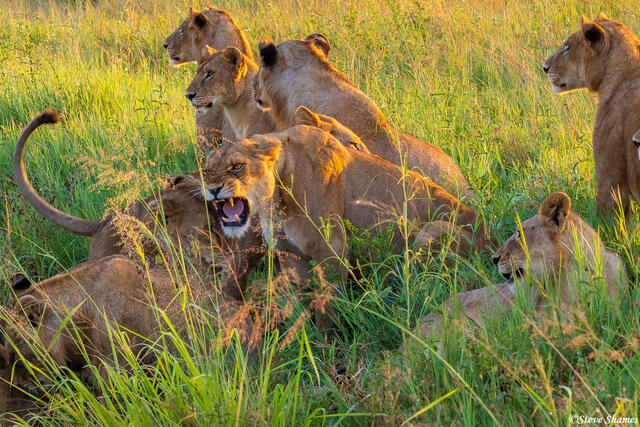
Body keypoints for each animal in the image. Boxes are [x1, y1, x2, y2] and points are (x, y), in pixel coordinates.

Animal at [200, 125, 493, 280]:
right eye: (206, 171)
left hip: (432, 232)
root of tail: (492, 242)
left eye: (237, 166)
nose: (213, 190)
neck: (274, 201)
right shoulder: (290, 255)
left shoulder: (332, 250)